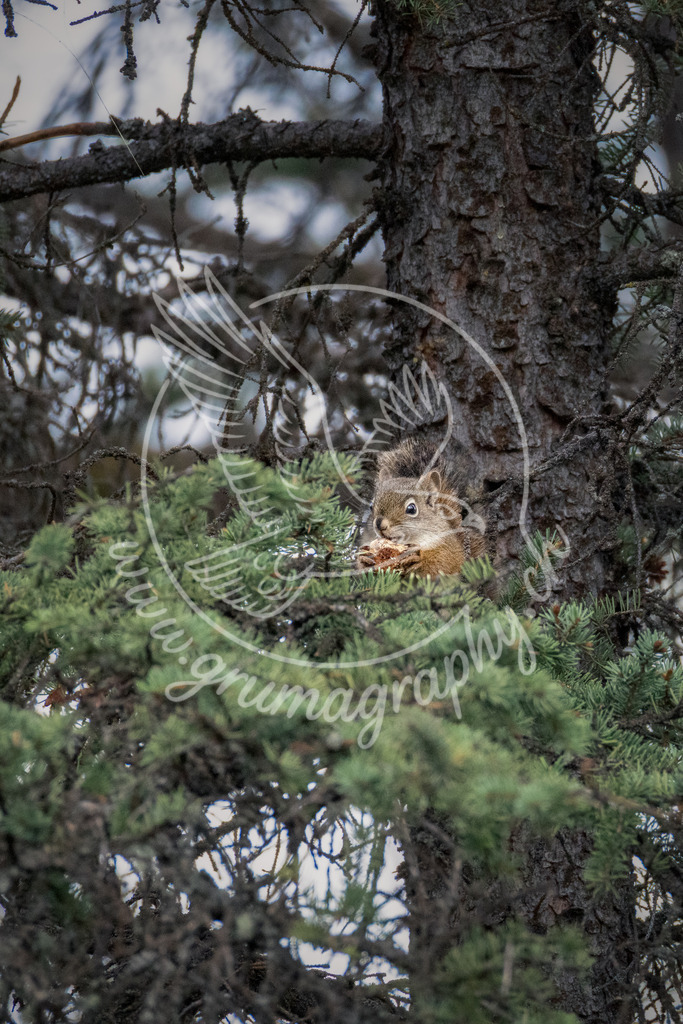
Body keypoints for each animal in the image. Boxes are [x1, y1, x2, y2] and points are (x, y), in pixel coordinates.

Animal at [357, 438, 486, 577]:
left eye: (411, 509)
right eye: (371, 506)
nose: (380, 525)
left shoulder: (449, 549)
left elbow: (442, 564)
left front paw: (419, 559)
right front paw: (364, 559)